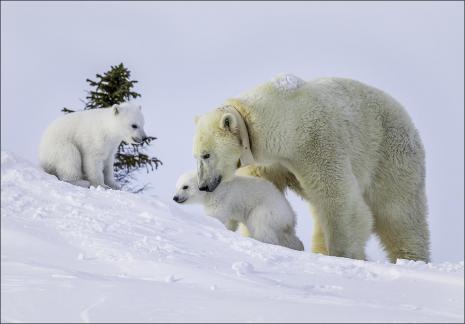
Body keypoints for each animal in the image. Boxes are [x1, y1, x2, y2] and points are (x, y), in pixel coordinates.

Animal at [191, 74, 428, 262]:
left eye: (206, 155)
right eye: (196, 156)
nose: (203, 185)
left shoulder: (317, 141)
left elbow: (340, 199)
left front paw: (345, 255)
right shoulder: (269, 160)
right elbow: (263, 193)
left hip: (390, 155)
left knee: (398, 213)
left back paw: (412, 258)